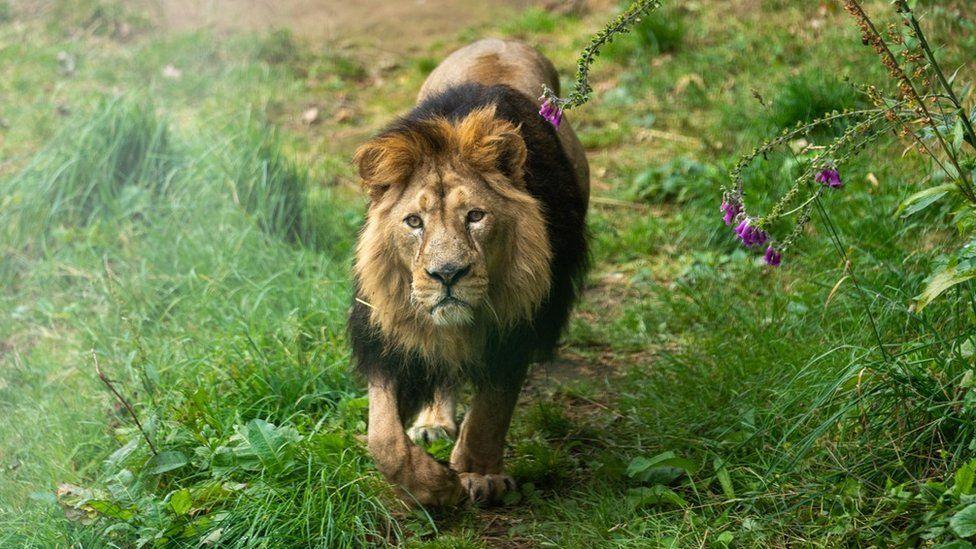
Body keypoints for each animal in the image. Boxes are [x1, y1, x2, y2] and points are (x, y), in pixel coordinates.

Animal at [348, 37, 588, 506]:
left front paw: (478, 473)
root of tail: (498, 39)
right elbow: (383, 439)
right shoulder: (386, 331)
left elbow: (494, 406)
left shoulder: (522, 321)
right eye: (414, 222)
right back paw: (432, 421)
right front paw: (435, 485)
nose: (447, 275)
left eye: (476, 216)